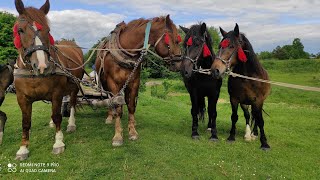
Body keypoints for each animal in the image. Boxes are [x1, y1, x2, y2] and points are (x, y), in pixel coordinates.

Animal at [13, 0, 84, 160]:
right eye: (20, 30)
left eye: (48, 30)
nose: (41, 66)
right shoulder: (22, 98)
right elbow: (25, 122)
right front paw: (23, 148)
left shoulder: (57, 93)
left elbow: (57, 116)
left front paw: (58, 143)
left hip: (75, 86)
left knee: (71, 103)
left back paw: (71, 124)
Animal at [95, 15, 181, 146]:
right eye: (175, 40)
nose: (180, 63)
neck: (125, 53)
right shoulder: (113, 83)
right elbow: (116, 106)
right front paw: (118, 135)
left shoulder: (134, 82)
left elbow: (131, 105)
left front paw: (132, 131)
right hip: (104, 83)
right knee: (110, 100)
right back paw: (110, 117)